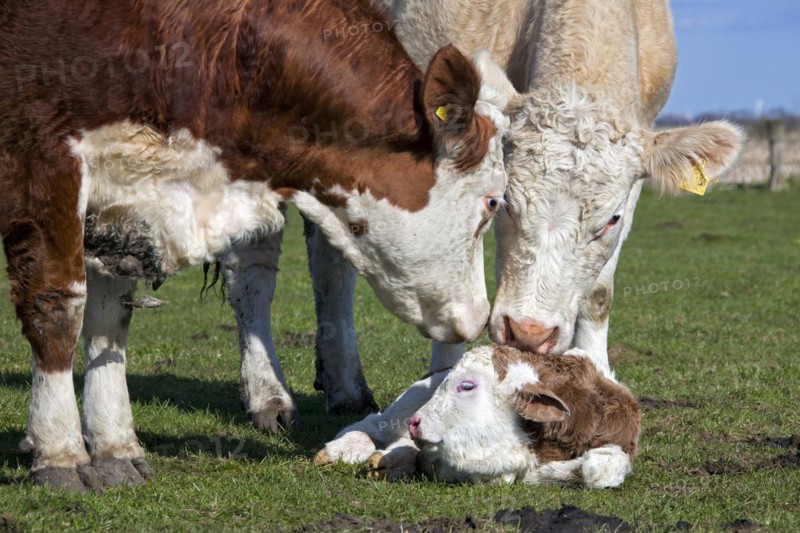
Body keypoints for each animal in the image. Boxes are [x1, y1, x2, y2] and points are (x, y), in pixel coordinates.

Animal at [0, 0, 512, 491]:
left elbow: (110, 318)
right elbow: (58, 306)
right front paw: (60, 451)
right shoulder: (42, 156)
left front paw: (114, 448)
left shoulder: (123, 205)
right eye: (492, 201)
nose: (477, 319)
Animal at [315, 345, 641, 488]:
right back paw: (341, 452)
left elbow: (600, 469)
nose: (416, 423)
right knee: (372, 425)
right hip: (408, 401)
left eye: (467, 385)